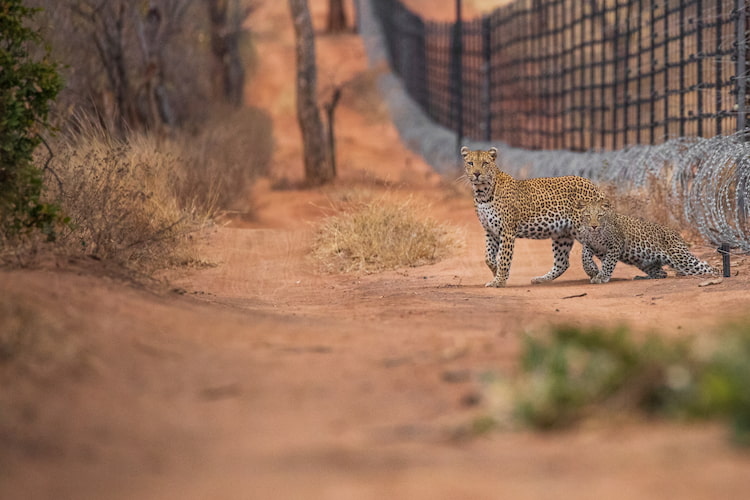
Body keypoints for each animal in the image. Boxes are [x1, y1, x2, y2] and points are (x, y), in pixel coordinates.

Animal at [461, 146, 605, 287]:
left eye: (485, 163)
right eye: (470, 163)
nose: (477, 174)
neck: (482, 195)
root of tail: (594, 186)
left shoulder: (506, 231)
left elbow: (503, 257)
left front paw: (499, 280)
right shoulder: (490, 231)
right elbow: (488, 257)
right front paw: (496, 272)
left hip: (585, 229)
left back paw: (598, 273)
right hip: (562, 234)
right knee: (562, 263)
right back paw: (541, 279)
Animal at [577, 198, 719, 284]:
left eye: (599, 216)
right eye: (587, 216)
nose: (593, 226)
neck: (596, 235)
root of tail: (677, 234)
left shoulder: (615, 245)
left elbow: (608, 263)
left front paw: (602, 277)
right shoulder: (590, 244)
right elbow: (584, 257)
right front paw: (592, 270)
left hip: (681, 258)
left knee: (707, 268)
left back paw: (715, 275)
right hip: (644, 262)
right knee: (662, 273)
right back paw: (642, 277)